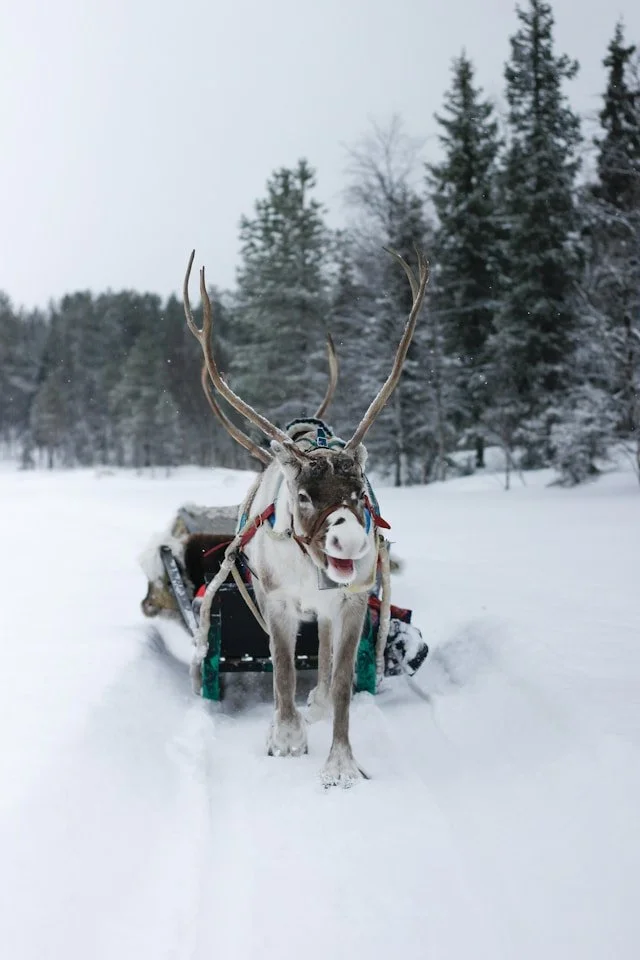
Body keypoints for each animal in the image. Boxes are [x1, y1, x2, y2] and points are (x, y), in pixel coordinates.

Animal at [183, 247, 429, 787]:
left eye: (358, 492)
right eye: (303, 495)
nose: (351, 543)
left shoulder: (352, 602)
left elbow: (340, 682)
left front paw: (340, 764)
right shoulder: (275, 601)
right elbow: (282, 671)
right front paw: (286, 738)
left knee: (328, 658)